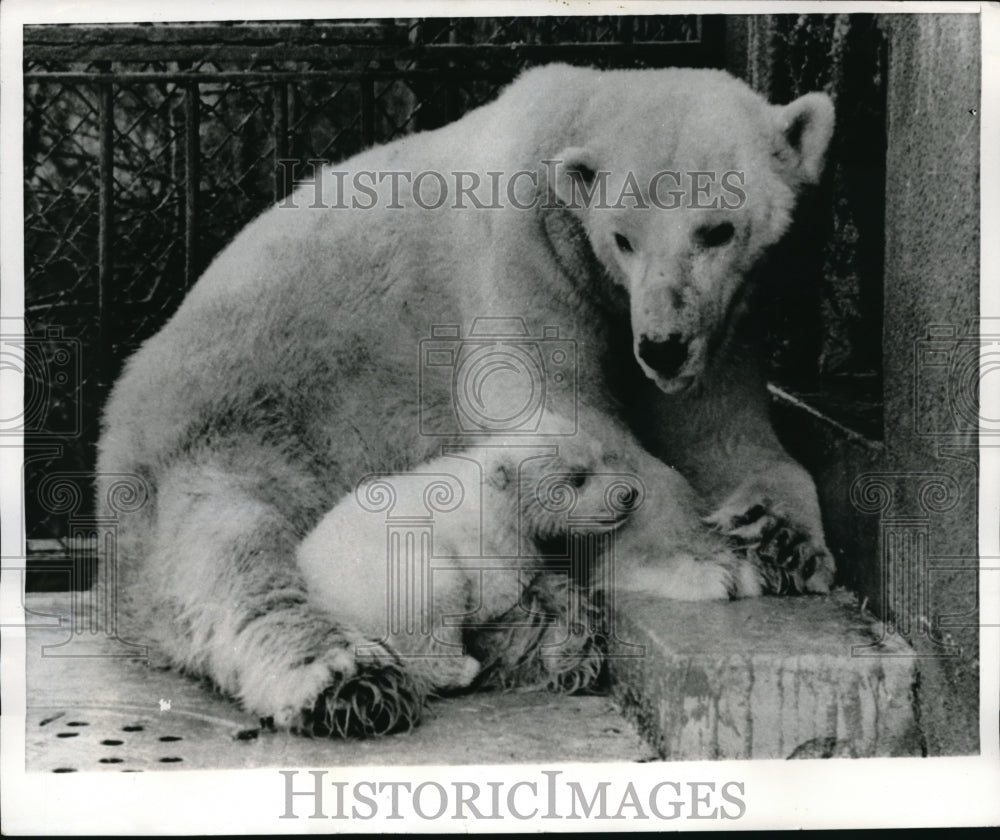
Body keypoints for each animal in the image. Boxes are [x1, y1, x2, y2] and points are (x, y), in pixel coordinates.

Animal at [296, 420, 644, 696]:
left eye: (602, 458)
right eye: (577, 478)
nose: (628, 494)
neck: (495, 495)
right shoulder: (489, 542)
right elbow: (497, 594)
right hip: (389, 571)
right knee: (434, 602)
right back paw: (463, 669)